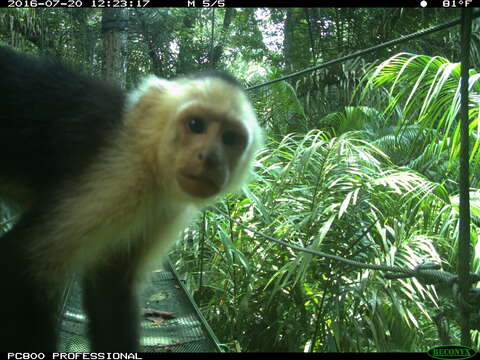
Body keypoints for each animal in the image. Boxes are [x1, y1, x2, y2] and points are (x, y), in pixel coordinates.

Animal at [0, 45, 262, 352]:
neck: (147, 157)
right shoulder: (119, 176)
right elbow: (23, 265)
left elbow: (112, 287)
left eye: (230, 138)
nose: (210, 158)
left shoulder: (165, 209)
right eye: (196, 124)